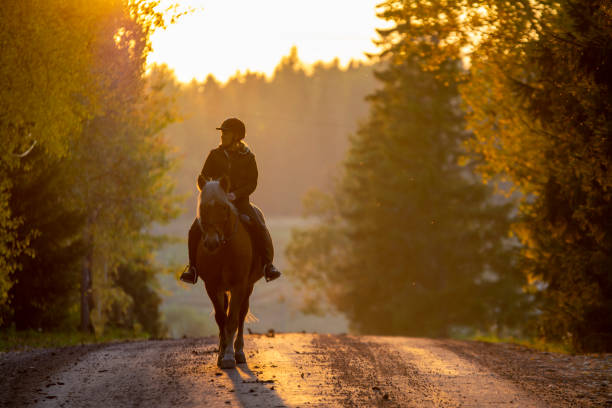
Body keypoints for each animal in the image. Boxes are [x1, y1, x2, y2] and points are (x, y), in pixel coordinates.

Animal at [196, 175, 262, 370]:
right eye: (202, 207)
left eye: (223, 207)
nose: (211, 242)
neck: (224, 248)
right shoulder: (212, 286)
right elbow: (221, 319)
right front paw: (221, 354)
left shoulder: (239, 285)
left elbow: (232, 320)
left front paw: (229, 356)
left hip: (248, 287)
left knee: (241, 315)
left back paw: (239, 352)